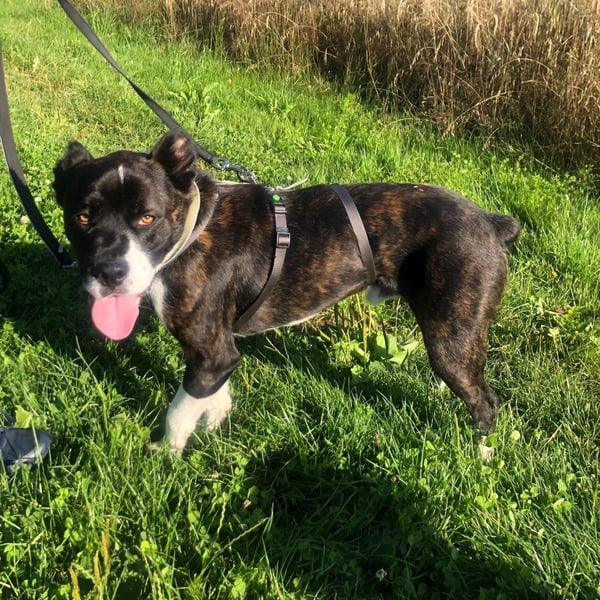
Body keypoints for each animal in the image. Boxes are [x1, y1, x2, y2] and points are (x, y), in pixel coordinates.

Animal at [53, 131, 521, 455]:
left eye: (148, 217)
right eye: (82, 216)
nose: (109, 272)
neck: (192, 228)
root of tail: (492, 223)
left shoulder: (210, 352)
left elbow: (178, 411)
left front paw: (165, 456)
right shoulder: (218, 354)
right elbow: (210, 395)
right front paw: (217, 420)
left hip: (452, 338)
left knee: (485, 401)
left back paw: (481, 452)